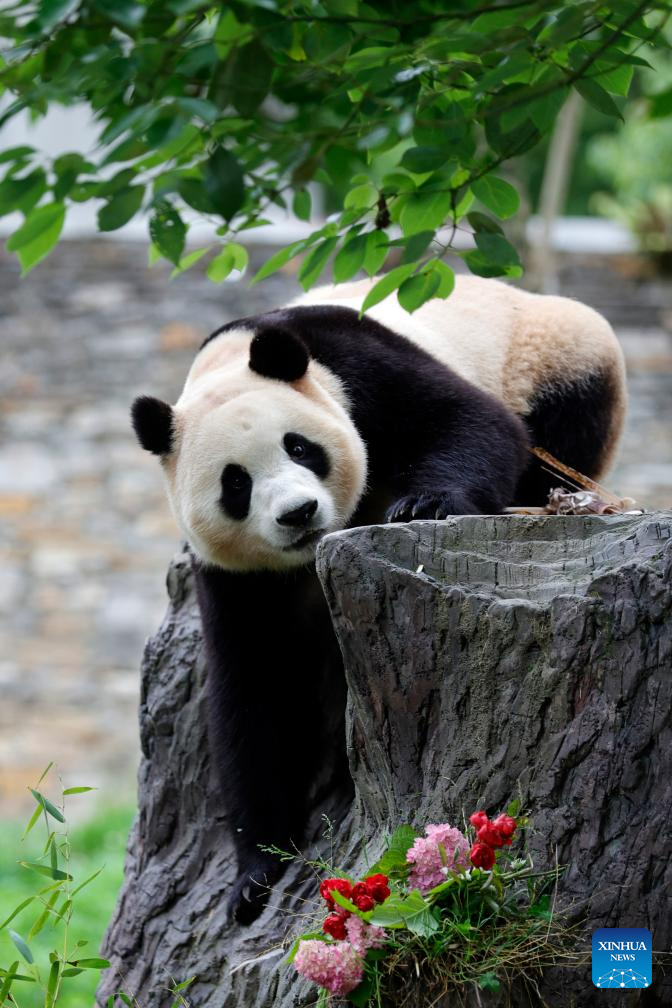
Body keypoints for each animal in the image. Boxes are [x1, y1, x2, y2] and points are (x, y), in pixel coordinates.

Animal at [130, 274, 624, 923]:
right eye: (235, 483)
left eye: (299, 447)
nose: (298, 513)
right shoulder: (237, 579)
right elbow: (255, 693)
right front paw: (254, 875)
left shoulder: (355, 369)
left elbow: (471, 421)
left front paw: (425, 503)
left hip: (559, 356)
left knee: (562, 433)